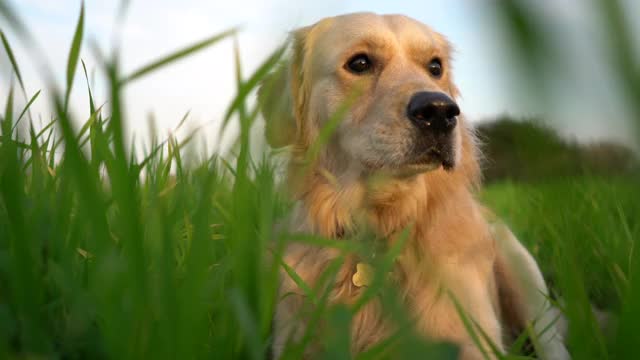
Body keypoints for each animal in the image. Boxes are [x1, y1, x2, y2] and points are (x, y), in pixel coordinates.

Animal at [258, 12, 568, 358]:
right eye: (359, 63)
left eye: (435, 67)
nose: (440, 111)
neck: (384, 222)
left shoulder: (471, 340)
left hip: (524, 275)